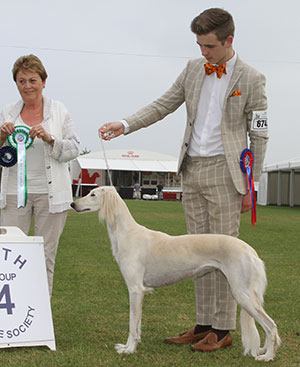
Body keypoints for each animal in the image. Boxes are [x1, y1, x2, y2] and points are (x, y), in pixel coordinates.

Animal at [71, 187, 282, 362]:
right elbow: (137, 325)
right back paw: (264, 351)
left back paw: (267, 356)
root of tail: (250, 250)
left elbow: (132, 325)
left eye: (93, 194)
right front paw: (128, 346)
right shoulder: (139, 291)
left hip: (242, 293)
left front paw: (129, 350)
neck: (127, 233)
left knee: (271, 326)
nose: (73, 204)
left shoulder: (135, 290)